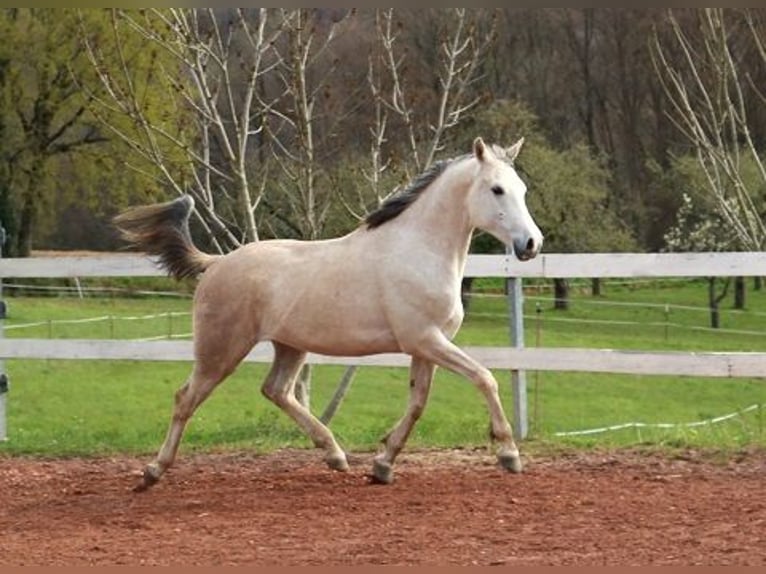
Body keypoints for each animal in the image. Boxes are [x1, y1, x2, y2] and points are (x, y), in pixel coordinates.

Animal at [115, 137, 543, 491]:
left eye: (523, 190)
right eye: (497, 189)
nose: (532, 244)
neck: (418, 249)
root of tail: (216, 263)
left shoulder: (425, 346)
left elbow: (418, 403)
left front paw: (383, 465)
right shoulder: (425, 339)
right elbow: (485, 378)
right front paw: (509, 454)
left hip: (289, 346)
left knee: (276, 390)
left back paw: (335, 455)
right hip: (221, 351)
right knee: (185, 399)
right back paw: (153, 471)